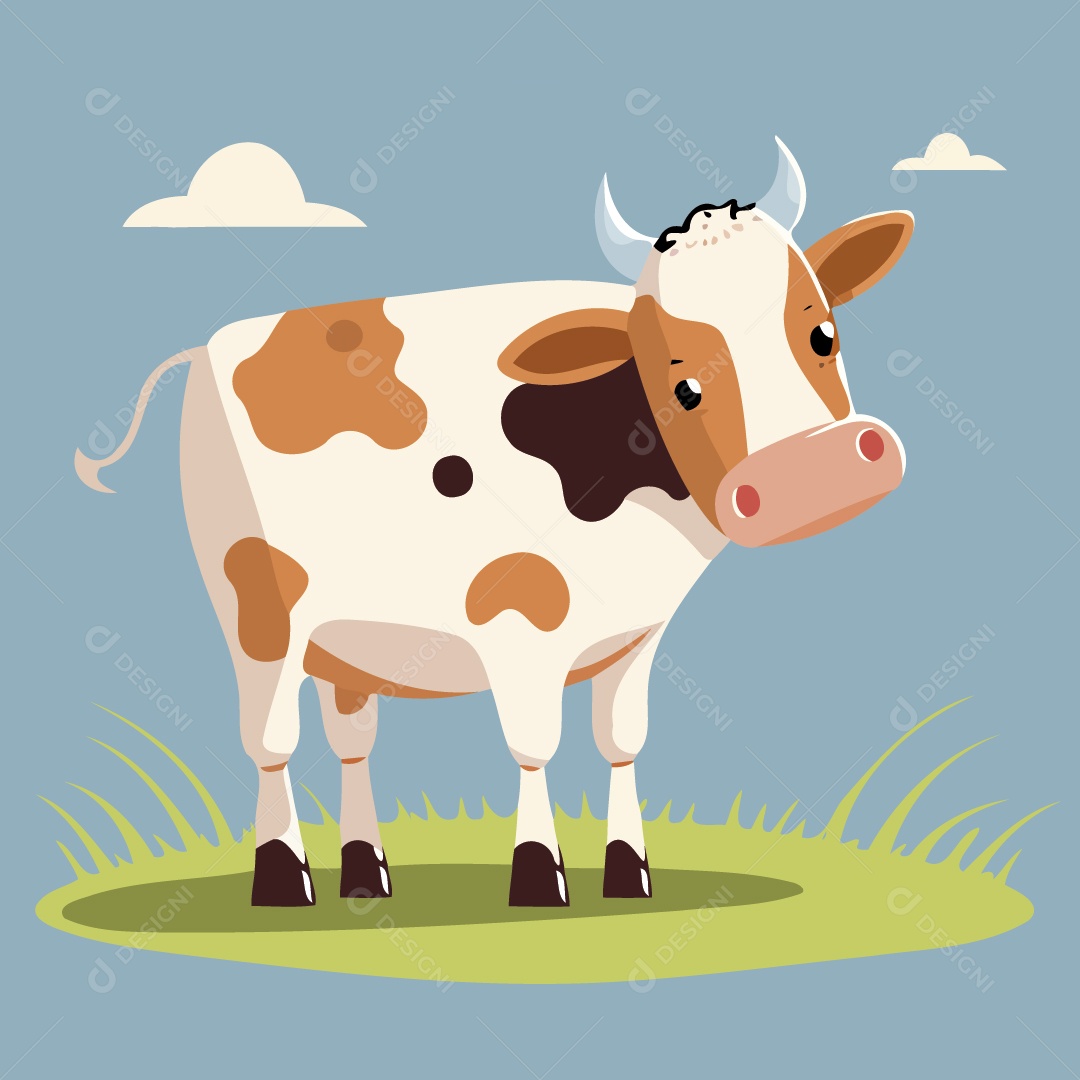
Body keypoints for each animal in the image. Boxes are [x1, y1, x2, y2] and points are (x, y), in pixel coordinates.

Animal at [75, 138, 913, 908]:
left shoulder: (638, 634)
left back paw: (366, 875)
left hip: (343, 643)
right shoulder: (522, 622)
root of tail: (207, 346)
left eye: (823, 333)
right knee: (271, 743)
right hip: (259, 613)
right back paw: (286, 882)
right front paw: (540, 880)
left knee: (351, 745)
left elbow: (621, 743)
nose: (810, 478)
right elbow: (534, 747)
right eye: (683, 385)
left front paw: (628, 876)